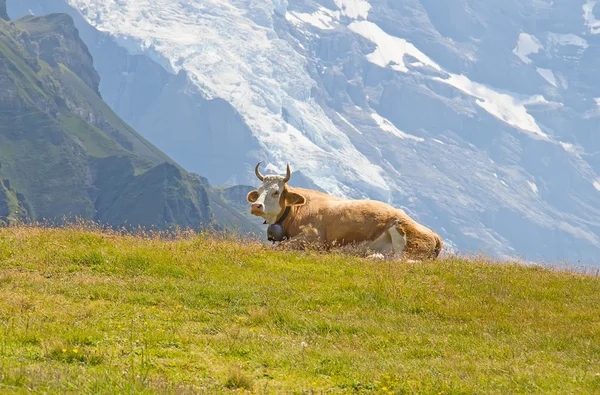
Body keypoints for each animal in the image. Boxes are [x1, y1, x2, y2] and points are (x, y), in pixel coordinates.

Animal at [246, 162, 442, 262]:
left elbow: (279, 247)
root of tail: (433, 233)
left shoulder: (313, 238)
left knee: (403, 260)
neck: (297, 211)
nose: (256, 206)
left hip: (401, 232)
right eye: (260, 189)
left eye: (275, 192)